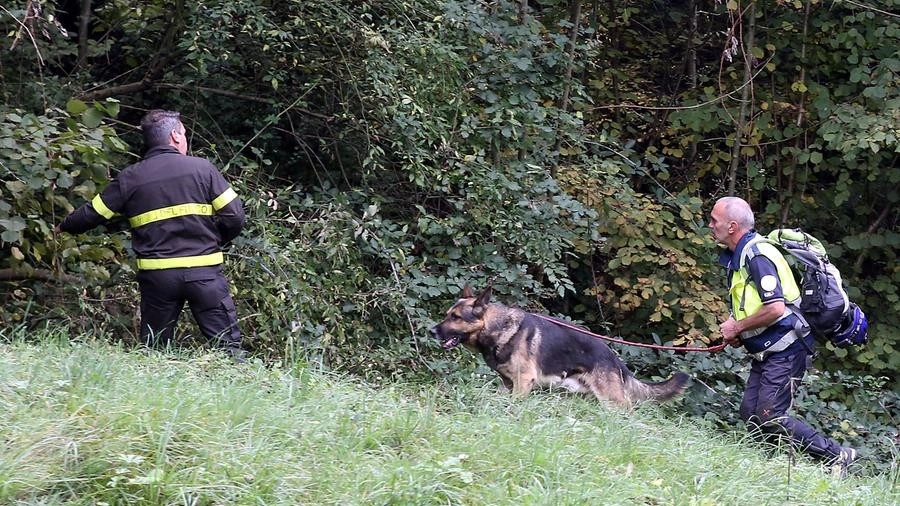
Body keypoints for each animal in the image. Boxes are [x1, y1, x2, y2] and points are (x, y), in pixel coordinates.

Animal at [428, 284, 688, 408]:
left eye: (455, 317)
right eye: (447, 314)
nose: (431, 331)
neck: (498, 327)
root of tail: (614, 358)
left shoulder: (523, 382)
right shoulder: (508, 384)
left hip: (612, 398)